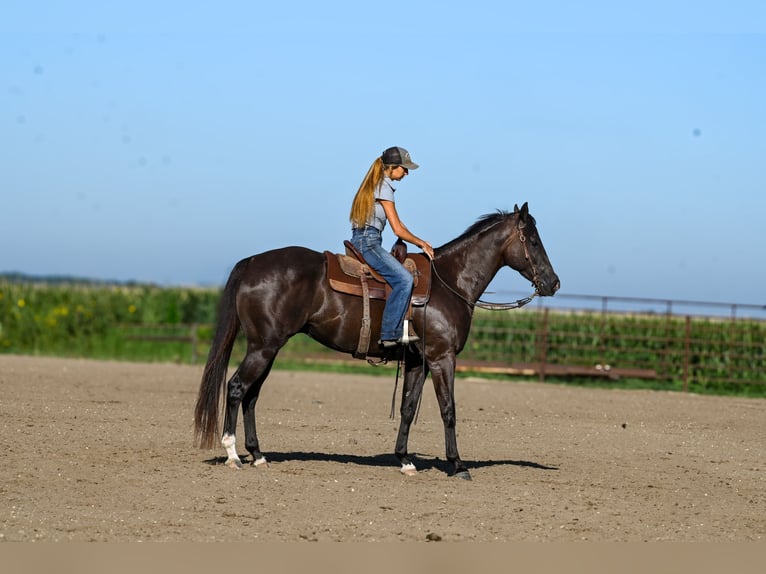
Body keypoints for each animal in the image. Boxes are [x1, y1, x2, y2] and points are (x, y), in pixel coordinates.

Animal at [194, 202, 560, 480]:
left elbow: (409, 408)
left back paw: (258, 454)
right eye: (533, 241)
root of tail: (252, 262)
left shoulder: (417, 361)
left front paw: (406, 460)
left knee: (252, 395)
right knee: (237, 388)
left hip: (268, 349)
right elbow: (448, 409)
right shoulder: (442, 357)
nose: (553, 283)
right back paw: (233, 454)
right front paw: (458, 465)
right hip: (263, 347)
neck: (450, 282)